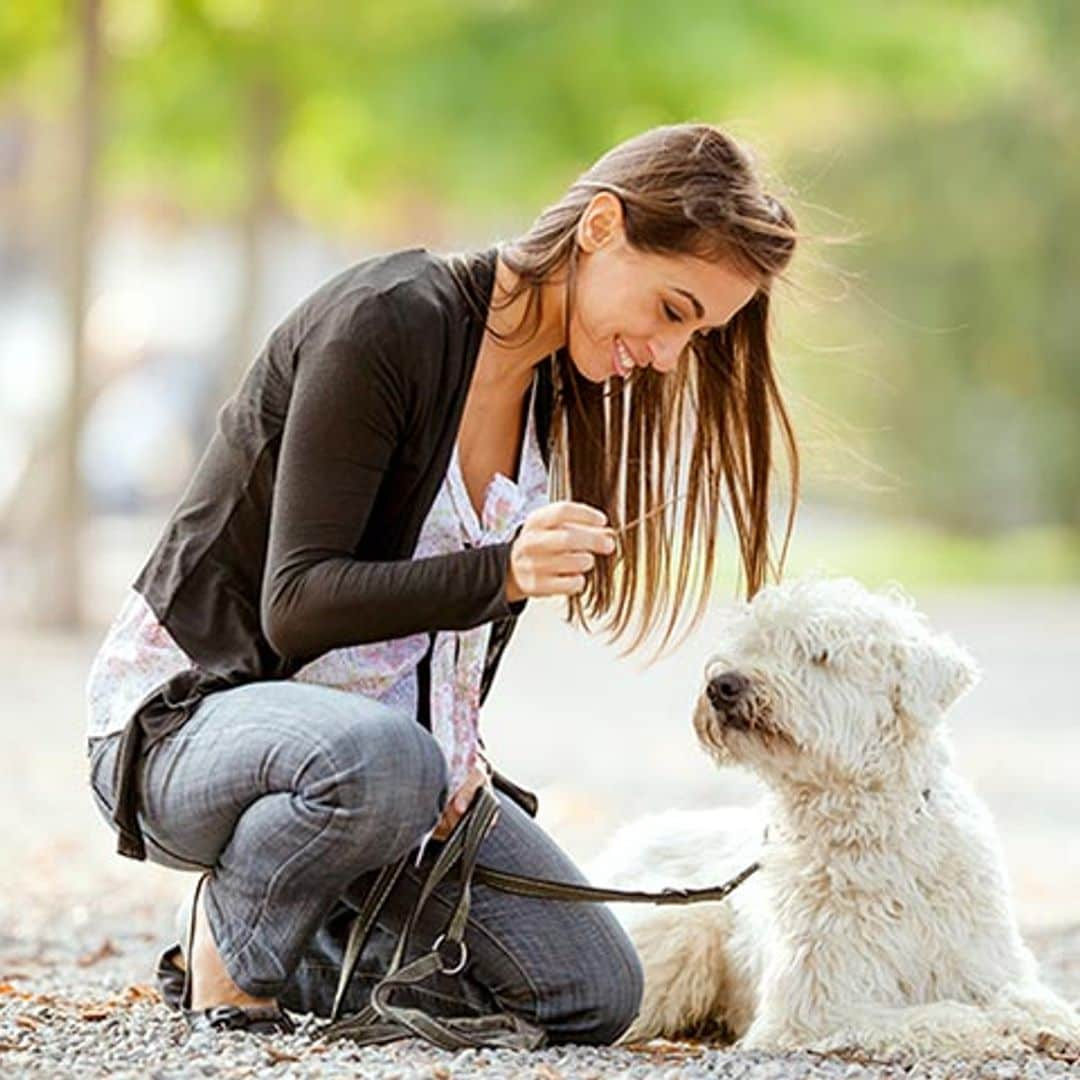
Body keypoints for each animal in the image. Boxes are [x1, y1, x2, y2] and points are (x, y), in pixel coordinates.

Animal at [591, 578, 1080, 1058]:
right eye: (753, 642)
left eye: (818, 654)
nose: (723, 685)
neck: (873, 829)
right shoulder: (823, 1004)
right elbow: (936, 1018)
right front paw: (990, 1030)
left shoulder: (985, 964)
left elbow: (1030, 1000)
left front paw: (1051, 1026)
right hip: (684, 929)